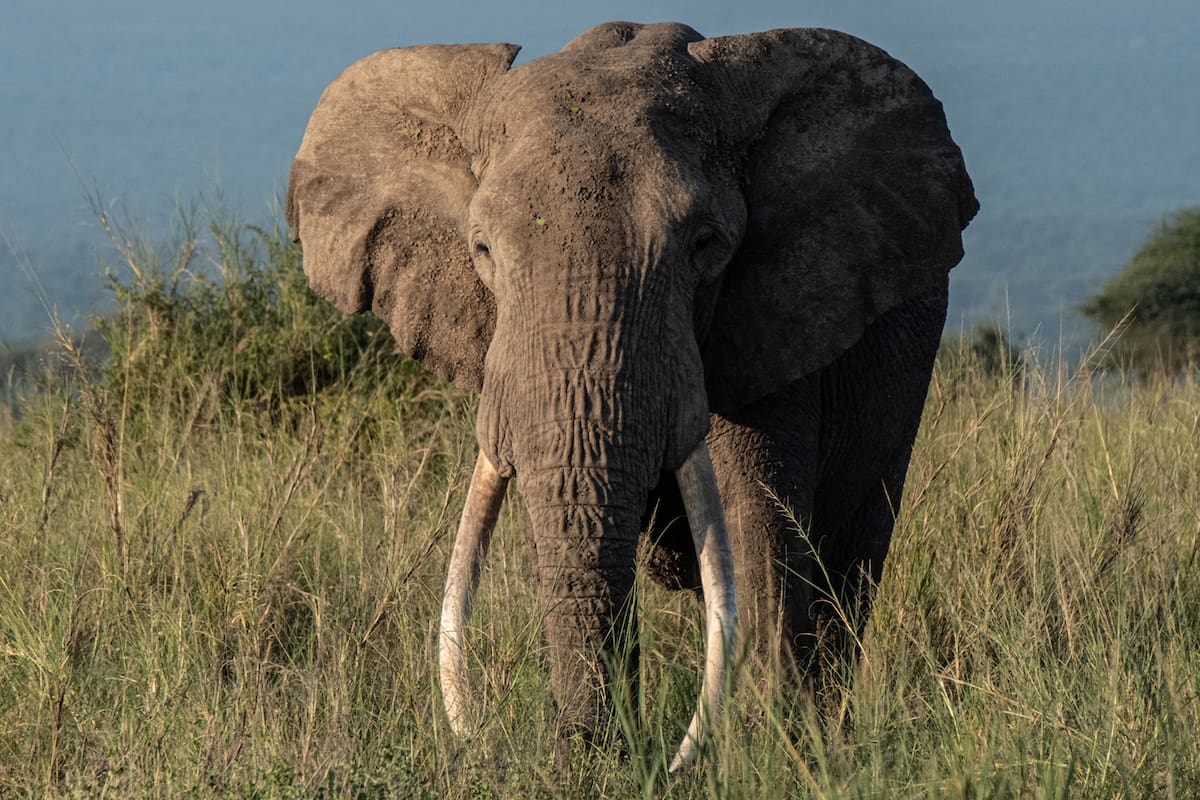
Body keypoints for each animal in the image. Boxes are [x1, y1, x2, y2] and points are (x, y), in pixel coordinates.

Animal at [286, 21, 977, 769]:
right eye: (483, 250)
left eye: (705, 245)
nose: (592, 754)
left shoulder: (773, 314)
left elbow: (756, 523)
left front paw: (771, 755)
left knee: (851, 560)